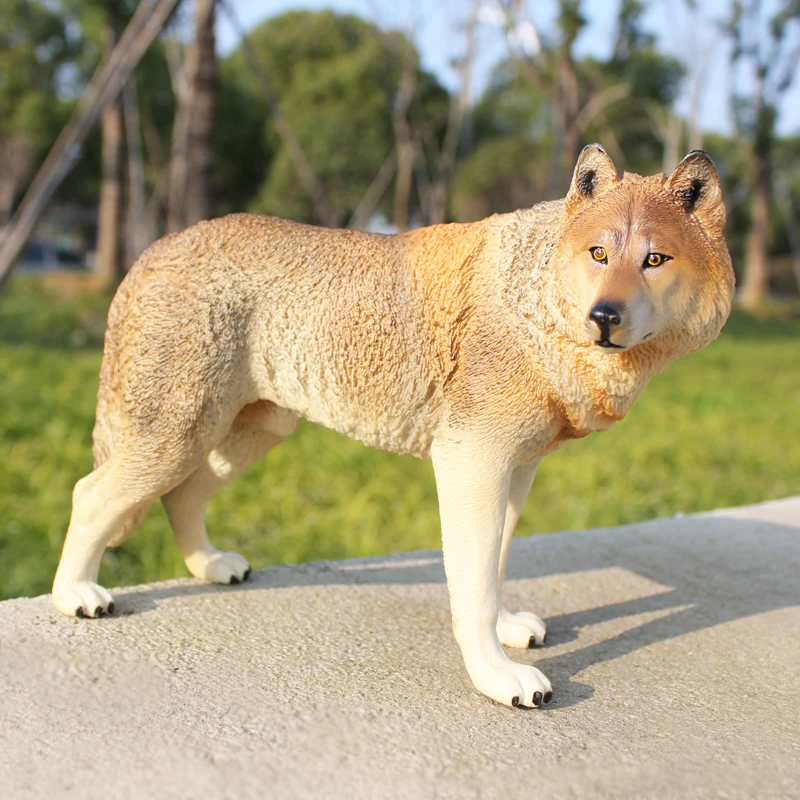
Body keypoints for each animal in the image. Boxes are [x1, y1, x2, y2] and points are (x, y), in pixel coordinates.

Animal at [52, 145, 734, 708]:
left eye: (654, 260)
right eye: (599, 254)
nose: (605, 316)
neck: (536, 300)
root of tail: (154, 248)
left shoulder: (515, 470)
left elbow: (496, 566)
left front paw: (507, 629)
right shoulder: (470, 463)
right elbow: (472, 586)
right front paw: (496, 677)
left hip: (247, 434)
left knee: (182, 496)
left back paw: (211, 566)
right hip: (177, 434)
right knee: (91, 494)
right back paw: (76, 595)